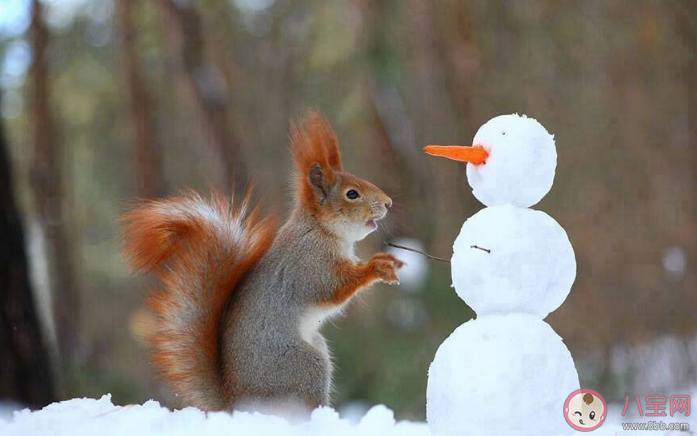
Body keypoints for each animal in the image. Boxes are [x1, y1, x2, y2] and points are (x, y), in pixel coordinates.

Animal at [121, 110, 402, 414]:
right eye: (352, 194)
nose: (388, 203)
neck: (321, 230)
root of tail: (237, 403)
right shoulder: (310, 264)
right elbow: (333, 288)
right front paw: (377, 267)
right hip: (304, 367)